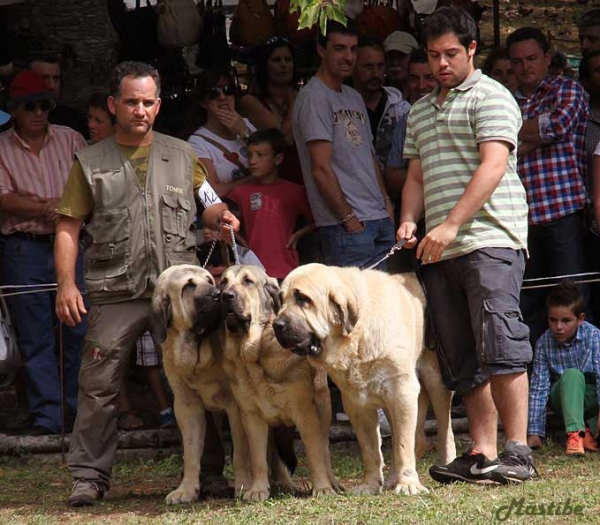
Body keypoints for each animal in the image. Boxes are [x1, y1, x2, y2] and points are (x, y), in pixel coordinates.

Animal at [152, 266, 253, 504]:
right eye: (188, 286)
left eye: (209, 280)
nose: (218, 295)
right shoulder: (187, 407)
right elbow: (191, 452)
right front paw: (186, 490)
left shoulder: (236, 406)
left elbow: (241, 452)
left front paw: (244, 485)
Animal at [218, 264, 340, 502]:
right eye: (223, 282)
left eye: (248, 281)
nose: (226, 296)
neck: (255, 354)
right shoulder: (251, 415)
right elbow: (258, 457)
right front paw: (258, 490)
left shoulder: (306, 412)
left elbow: (315, 453)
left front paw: (322, 488)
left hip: (323, 406)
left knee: (324, 449)